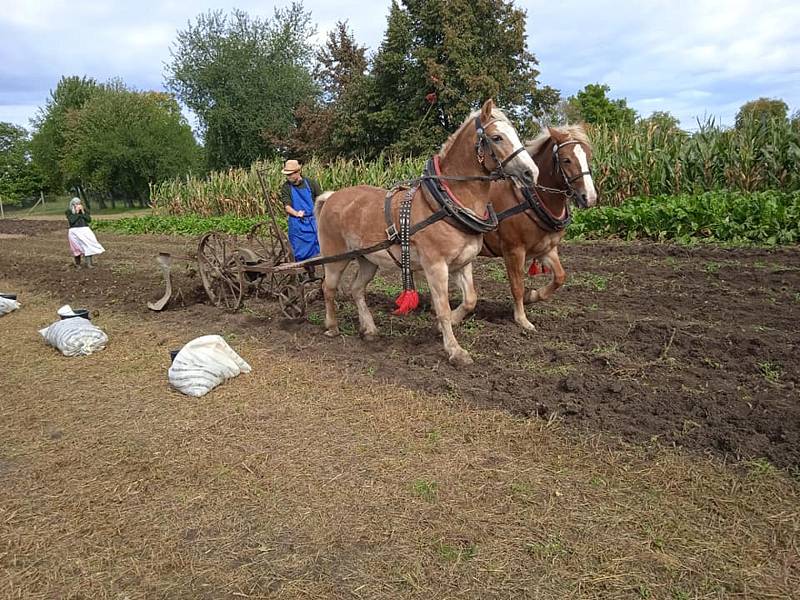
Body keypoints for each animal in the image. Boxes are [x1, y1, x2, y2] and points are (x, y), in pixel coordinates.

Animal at [316, 99, 540, 366]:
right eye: (497, 137)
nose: (531, 173)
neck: (448, 203)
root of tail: (331, 196)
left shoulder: (462, 264)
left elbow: (470, 299)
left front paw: (449, 323)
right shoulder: (436, 266)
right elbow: (442, 307)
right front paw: (455, 350)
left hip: (369, 259)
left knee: (356, 290)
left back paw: (369, 330)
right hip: (336, 258)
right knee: (328, 288)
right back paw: (332, 327)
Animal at [478, 126, 596, 330]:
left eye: (587, 157)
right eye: (566, 159)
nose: (589, 197)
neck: (532, 199)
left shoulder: (546, 249)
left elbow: (560, 276)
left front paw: (532, 296)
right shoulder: (514, 250)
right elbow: (517, 285)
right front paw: (521, 319)